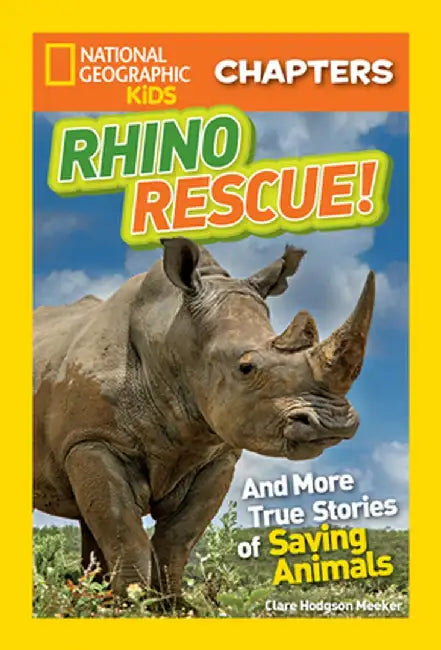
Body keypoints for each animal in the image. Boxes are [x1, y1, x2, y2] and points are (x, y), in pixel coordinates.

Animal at [33, 237, 375, 606]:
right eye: (246, 367)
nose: (333, 422)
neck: (172, 334)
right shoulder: (92, 440)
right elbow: (125, 533)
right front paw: (133, 605)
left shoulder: (218, 455)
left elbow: (177, 537)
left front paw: (173, 606)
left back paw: (92, 600)